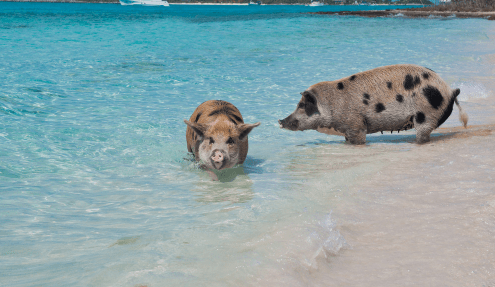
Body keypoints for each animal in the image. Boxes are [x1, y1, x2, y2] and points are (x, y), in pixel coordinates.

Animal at [280, 63, 468, 144]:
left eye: (301, 105)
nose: (280, 121)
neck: (332, 104)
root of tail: (450, 90)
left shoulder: (355, 124)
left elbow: (359, 139)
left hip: (426, 113)